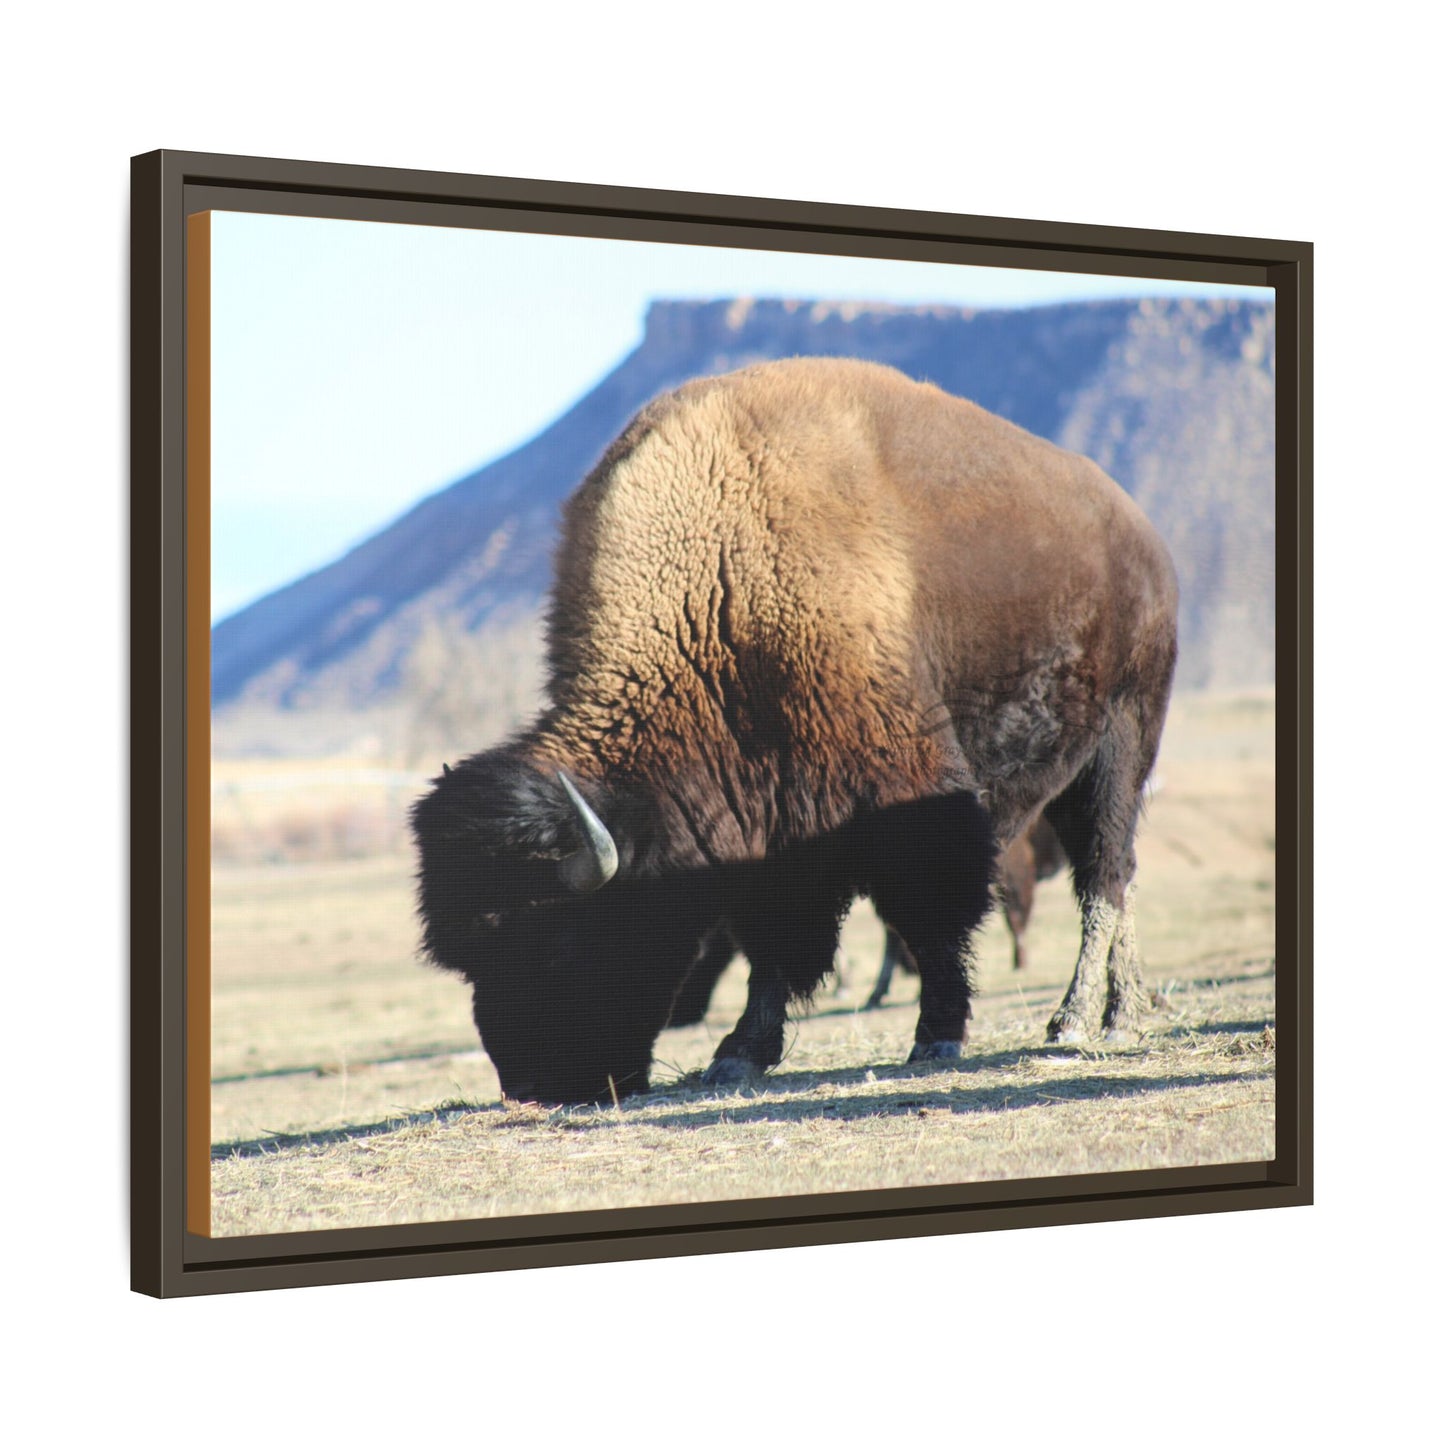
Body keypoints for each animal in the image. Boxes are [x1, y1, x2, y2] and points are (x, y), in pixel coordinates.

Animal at [412, 357, 1178, 1103]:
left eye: (557, 938)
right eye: (468, 958)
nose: (531, 1087)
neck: (718, 589)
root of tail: (1142, 536)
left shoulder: (906, 794)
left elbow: (927, 915)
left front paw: (936, 1035)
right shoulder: (770, 827)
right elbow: (774, 942)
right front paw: (739, 1053)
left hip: (1120, 746)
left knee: (1103, 876)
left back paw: (1080, 1019)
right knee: (1118, 876)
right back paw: (1123, 1008)